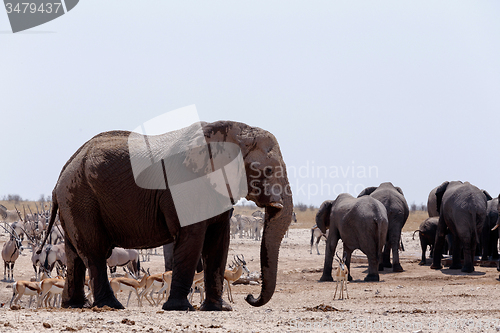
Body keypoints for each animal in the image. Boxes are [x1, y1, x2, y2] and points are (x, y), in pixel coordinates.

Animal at [39, 120, 292, 312]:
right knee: (94, 252)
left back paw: (75, 306)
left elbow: (219, 241)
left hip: (73, 201)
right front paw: (180, 308)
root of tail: (62, 173)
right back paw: (111, 306)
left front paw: (219, 309)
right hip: (81, 198)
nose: (250, 298)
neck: (233, 130)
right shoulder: (186, 186)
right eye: (266, 170)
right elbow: (192, 239)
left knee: (74, 254)